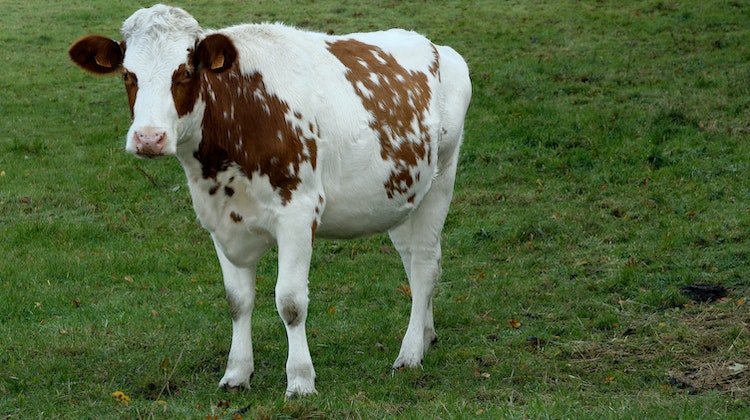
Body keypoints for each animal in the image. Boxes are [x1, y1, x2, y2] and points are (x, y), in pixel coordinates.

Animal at [69, 4, 470, 398]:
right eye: (128, 75)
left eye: (184, 72)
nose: (148, 138)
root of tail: (437, 47)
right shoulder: (220, 220)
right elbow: (237, 300)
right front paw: (236, 373)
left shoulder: (298, 212)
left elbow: (290, 302)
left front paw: (301, 380)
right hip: (403, 195)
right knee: (412, 261)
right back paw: (426, 335)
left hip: (442, 178)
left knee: (425, 265)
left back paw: (410, 353)